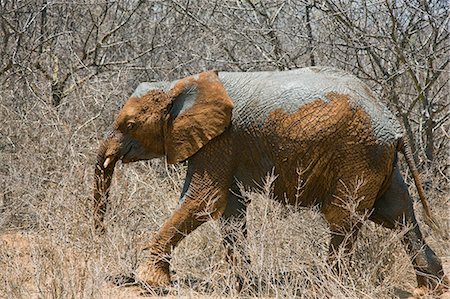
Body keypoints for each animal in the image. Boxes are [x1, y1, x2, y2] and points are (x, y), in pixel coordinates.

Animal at [93, 67, 448, 294]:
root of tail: (394, 127)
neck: (180, 84)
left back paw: (325, 286)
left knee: (344, 218)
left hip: (358, 154)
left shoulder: (221, 139)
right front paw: (244, 286)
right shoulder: (221, 143)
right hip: (377, 158)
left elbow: (204, 200)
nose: (101, 236)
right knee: (398, 214)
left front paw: (147, 280)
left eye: (129, 125)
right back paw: (430, 289)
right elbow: (229, 209)